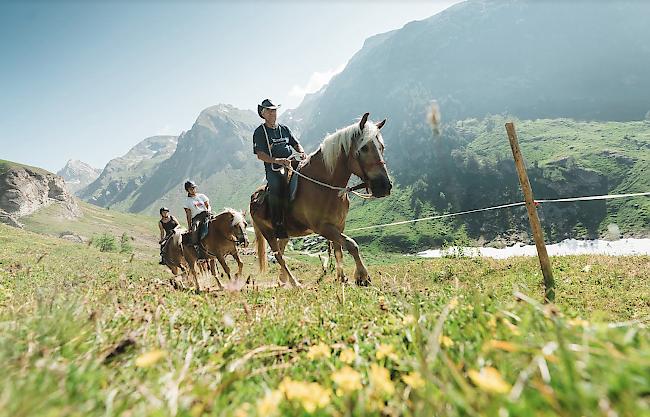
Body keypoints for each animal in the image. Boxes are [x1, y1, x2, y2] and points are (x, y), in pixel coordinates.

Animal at [249, 112, 390, 288]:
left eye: (382, 147)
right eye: (364, 148)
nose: (384, 186)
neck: (326, 188)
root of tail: (253, 198)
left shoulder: (339, 226)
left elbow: (338, 251)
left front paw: (342, 278)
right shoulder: (323, 228)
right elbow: (352, 245)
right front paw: (362, 277)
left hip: (284, 234)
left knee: (281, 252)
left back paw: (283, 281)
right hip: (268, 233)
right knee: (279, 256)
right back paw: (295, 283)